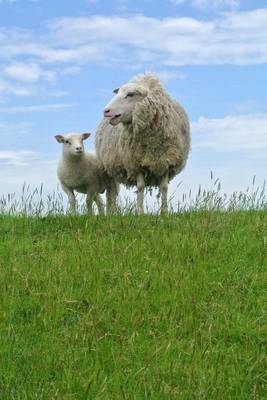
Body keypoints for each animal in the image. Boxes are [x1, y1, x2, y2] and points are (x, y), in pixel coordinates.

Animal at [95, 73, 192, 214]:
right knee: (110, 193)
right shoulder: (136, 163)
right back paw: (110, 214)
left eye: (130, 94)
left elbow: (164, 188)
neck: (153, 142)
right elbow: (140, 187)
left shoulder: (166, 162)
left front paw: (164, 212)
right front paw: (140, 212)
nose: (105, 111)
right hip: (107, 169)